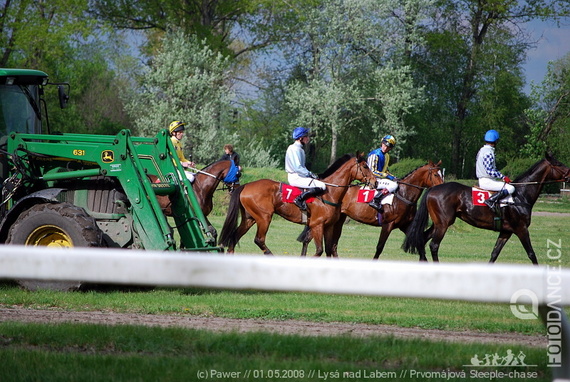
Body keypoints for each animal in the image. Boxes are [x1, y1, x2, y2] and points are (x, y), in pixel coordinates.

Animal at [217, 153, 372, 256]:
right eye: (365, 166)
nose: (374, 181)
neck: (329, 191)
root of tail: (246, 185)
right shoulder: (317, 225)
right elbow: (319, 250)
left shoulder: (328, 226)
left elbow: (328, 249)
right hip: (264, 218)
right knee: (259, 240)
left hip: (250, 218)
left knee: (234, 236)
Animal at [298, 160, 444, 258]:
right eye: (436, 175)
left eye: (441, 174)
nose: (442, 188)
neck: (403, 194)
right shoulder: (388, 224)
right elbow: (379, 247)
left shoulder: (405, 225)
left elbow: (419, 242)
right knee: (313, 240)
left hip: (336, 220)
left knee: (328, 244)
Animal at [400, 154, 568, 264]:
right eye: (559, 164)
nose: (569, 173)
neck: (521, 195)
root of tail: (433, 189)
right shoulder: (521, 229)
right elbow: (532, 254)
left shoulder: (506, 231)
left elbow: (494, 253)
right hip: (443, 224)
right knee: (434, 245)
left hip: (439, 223)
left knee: (422, 239)